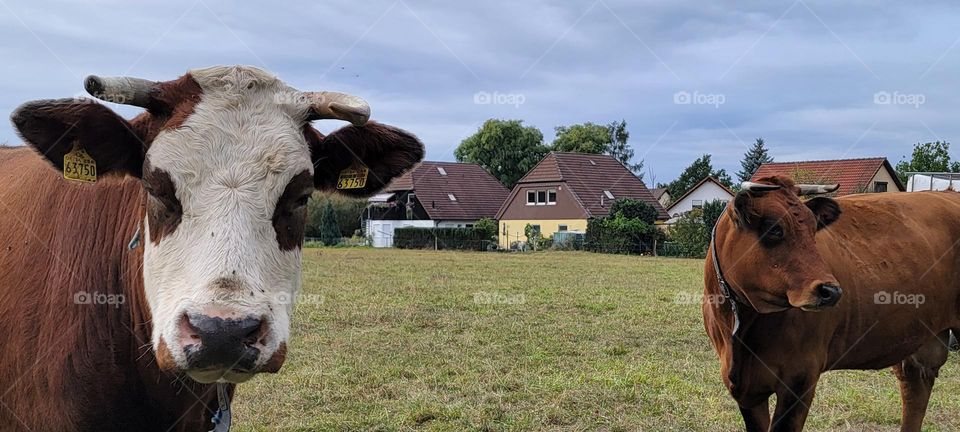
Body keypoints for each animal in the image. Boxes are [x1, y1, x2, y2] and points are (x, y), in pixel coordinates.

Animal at [704, 176, 960, 432]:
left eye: (813, 230)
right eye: (774, 229)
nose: (831, 291)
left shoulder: (800, 376)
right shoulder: (745, 388)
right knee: (916, 386)